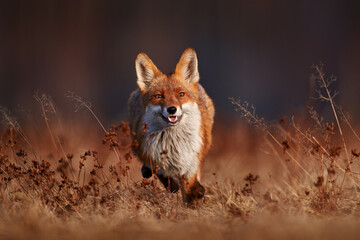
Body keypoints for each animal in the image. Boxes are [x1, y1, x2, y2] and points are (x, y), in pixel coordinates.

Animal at [129, 48, 215, 204]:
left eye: (181, 94)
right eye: (158, 96)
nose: (172, 109)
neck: (174, 144)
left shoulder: (191, 159)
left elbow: (190, 183)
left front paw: (194, 194)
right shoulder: (150, 153)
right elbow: (160, 171)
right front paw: (172, 185)